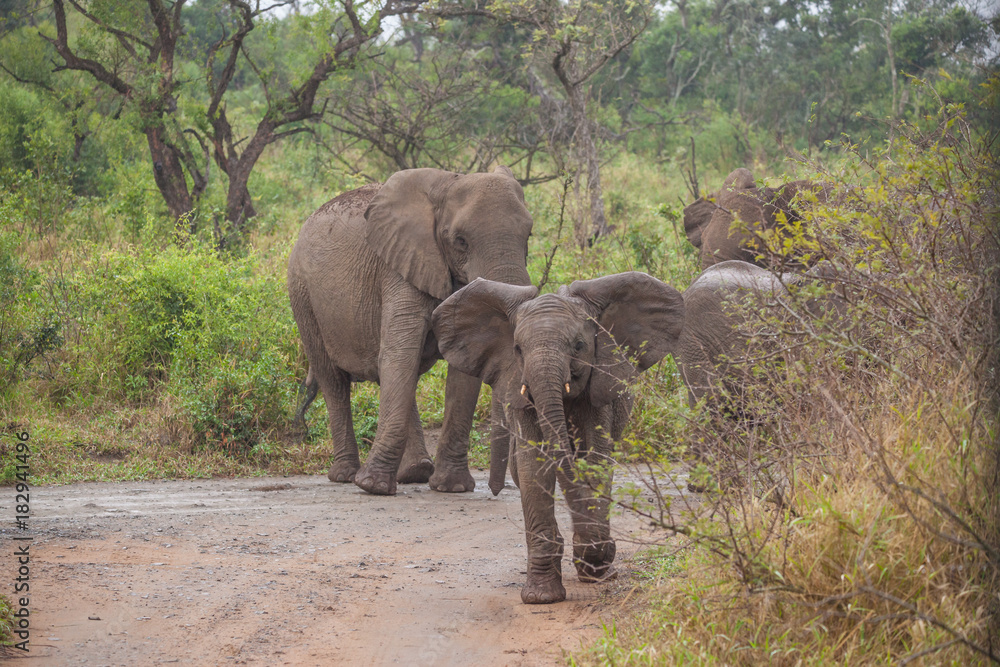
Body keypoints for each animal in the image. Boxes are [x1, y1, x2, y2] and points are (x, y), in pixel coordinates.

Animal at [287, 166, 533, 496]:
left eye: (529, 235)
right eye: (460, 241)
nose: (498, 490)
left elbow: (461, 370)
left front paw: (452, 488)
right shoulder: (399, 269)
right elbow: (400, 353)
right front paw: (373, 487)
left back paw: (416, 471)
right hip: (302, 294)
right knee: (333, 379)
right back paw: (345, 475)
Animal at [431, 272, 685, 604]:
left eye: (579, 346)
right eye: (517, 349)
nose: (602, 553)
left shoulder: (599, 387)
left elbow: (595, 458)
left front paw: (596, 566)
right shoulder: (520, 391)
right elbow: (534, 466)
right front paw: (542, 596)